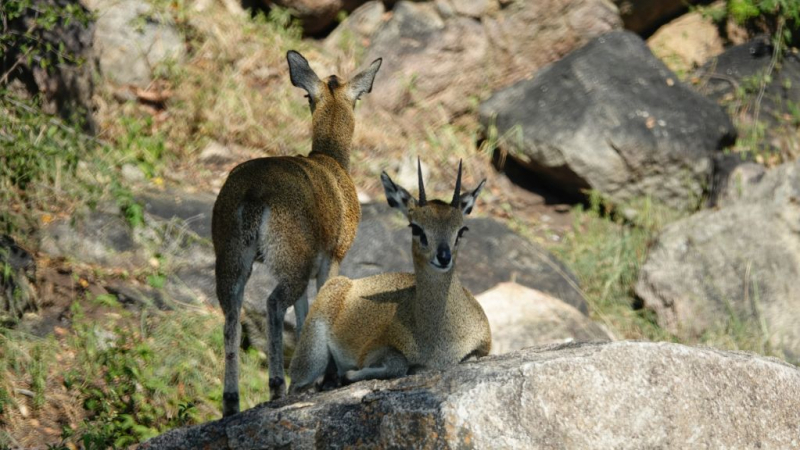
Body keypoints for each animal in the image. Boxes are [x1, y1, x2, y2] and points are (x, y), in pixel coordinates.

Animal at [214, 50, 382, 414]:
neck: (331, 159)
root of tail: (253, 194)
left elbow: (306, 312)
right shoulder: (334, 254)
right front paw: (324, 379)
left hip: (233, 254)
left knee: (231, 313)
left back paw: (232, 402)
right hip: (292, 252)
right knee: (274, 303)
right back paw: (277, 386)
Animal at [288, 160, 488, 392]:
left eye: (461, 230)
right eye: (416, 227)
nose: (443, 257)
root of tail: (345, 284)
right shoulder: (374, 349)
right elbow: (398, 364)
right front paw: (348, 375)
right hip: (310, 359)